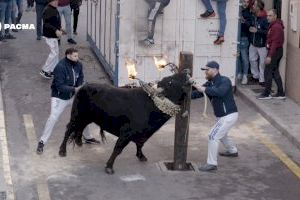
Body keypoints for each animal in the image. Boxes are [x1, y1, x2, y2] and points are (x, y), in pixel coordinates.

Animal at [59, 71, 192, 173]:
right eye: (171, 81)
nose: (186, 71)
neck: (152, 103)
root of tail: (83, 87)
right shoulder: (126, 133)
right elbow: (118, 148)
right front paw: (109, 167)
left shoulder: (144, 133)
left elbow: (140, 144)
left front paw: (141, 156)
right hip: (76, 115)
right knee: (69, 129)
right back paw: (62, 151)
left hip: (87, 117)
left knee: (80, 127)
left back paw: (79, 142)